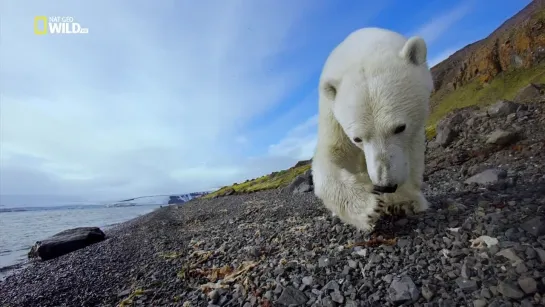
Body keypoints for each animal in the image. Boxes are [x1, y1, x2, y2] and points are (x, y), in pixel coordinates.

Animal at [310, 27, 434, 232]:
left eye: (400, 127)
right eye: (357, 138)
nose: (386, 185)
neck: (362, 47)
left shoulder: (416, 127)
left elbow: (412, 156)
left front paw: (404, 201)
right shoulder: (332, 115)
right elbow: (331, 156)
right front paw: (369, 205)